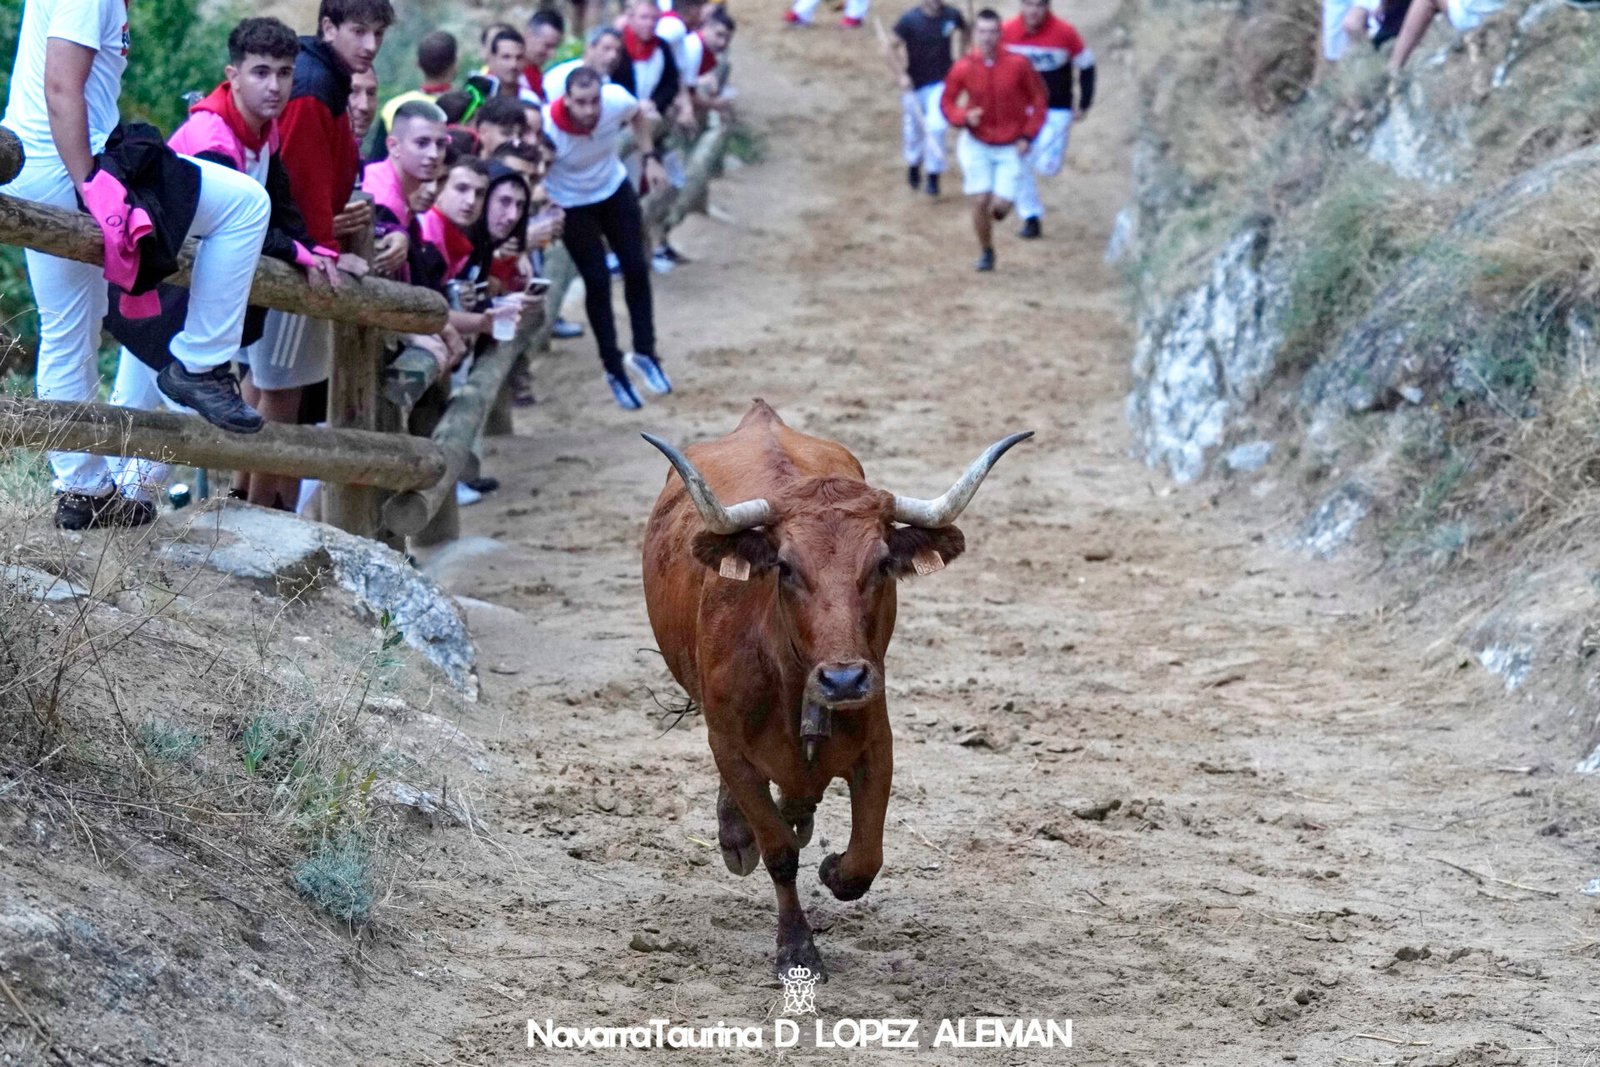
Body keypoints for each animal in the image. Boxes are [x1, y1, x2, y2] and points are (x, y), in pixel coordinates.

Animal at [636, 403, 1024, 985]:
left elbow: (864, 860)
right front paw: (796, 948)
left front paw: (832, 866)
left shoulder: (878, 743)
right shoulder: (728, 745)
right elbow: (777, 851)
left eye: (882, 564)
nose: (843, 681)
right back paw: (738, 837)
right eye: (786, 566)